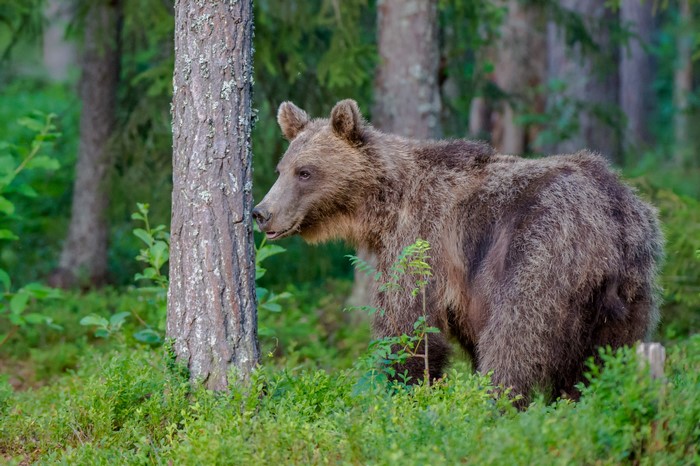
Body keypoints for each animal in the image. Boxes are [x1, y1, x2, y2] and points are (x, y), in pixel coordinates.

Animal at [253, 99, 663, 404]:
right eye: (280, 168)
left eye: (305, 172)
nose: (261, 212)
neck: (383, 206)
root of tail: (610, 215)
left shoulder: (421, 240)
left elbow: (408, 326)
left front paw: (400, 391)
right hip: (630, 291)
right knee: (605, 358)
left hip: (541, 255)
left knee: (515, 340)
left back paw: (496, 405)